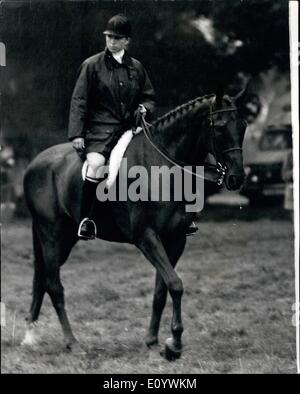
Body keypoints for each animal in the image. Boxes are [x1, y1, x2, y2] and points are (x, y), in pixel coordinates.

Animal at [22, 89, 247, 360]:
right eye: (221, 127)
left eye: (243, 125)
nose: (237, 178)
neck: (163, 166)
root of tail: (35, 163)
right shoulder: (146, 237)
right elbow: (175, 284)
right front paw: (174, 345)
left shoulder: (175, 239)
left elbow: (162, 289)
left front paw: (153, 341)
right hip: (51, 235)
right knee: (54, 286)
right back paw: (72, 342)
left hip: (64, 239)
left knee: (43, 280)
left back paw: (31, 336)